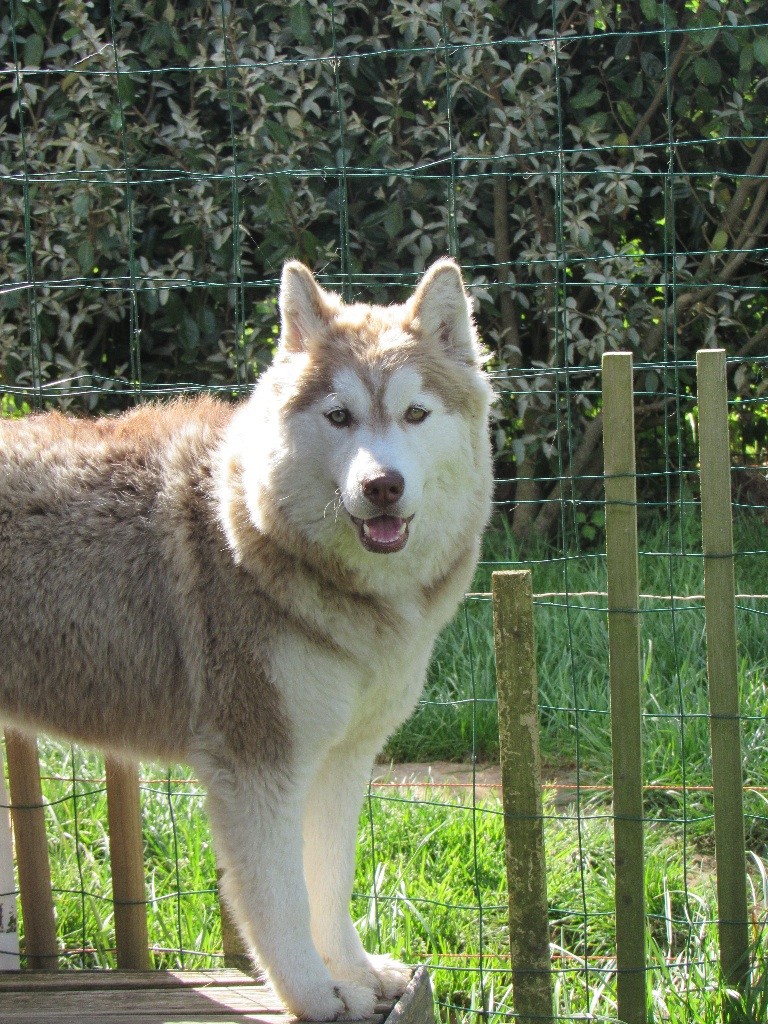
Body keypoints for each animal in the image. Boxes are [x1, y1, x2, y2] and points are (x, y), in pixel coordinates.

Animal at [0, 260, 493, 1019]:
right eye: (340, 416)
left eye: (416, 414)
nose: (382, 486)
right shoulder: (259, 764)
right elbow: (281, 900)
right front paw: (316, 992)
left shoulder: (342, 760)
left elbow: (329, 883)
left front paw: (355, 972)